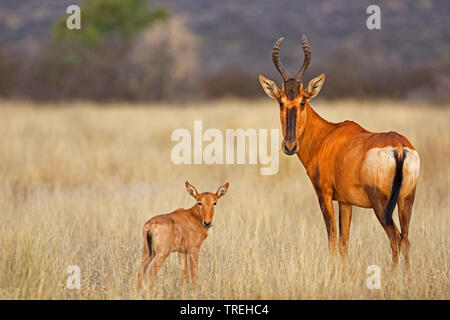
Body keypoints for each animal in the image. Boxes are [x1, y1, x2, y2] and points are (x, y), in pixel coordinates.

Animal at [258, 35, 420, 270]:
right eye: (281, 102)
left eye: (303, 101)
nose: (289, 146)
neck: (327, 135)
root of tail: (398, 146)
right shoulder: (346, 202)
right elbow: (344, 242)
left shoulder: (324, 195)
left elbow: (332, 239)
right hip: (406, 199)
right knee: (406, 239)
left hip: (381, 205)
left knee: (395, 238)